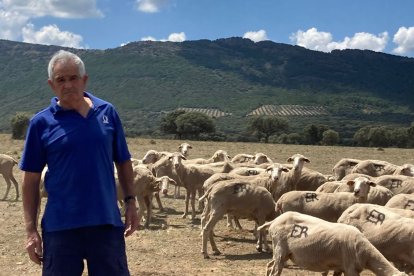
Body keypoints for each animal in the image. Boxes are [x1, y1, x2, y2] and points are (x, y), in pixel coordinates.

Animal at [258, 211, 406, 276]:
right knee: (275, 271)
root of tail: (275, 220)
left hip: (282, 253)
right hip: (280, 248)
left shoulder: (339, 267)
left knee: (269, 266)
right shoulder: (351, 269)